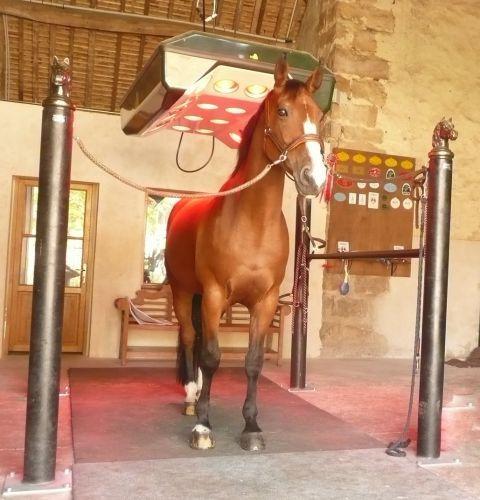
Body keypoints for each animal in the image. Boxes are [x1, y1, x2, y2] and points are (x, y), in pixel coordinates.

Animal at [165, 56, 326, 452]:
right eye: (283, 111)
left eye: (319, 115)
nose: (314, 178)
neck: (252, 223)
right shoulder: (213, 294)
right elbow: (211, 356)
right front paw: (203, 426)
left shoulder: (264, 302)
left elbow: (252, 362)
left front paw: (251, 426)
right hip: (184, 293)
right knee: (191, 340)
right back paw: (192, 399)